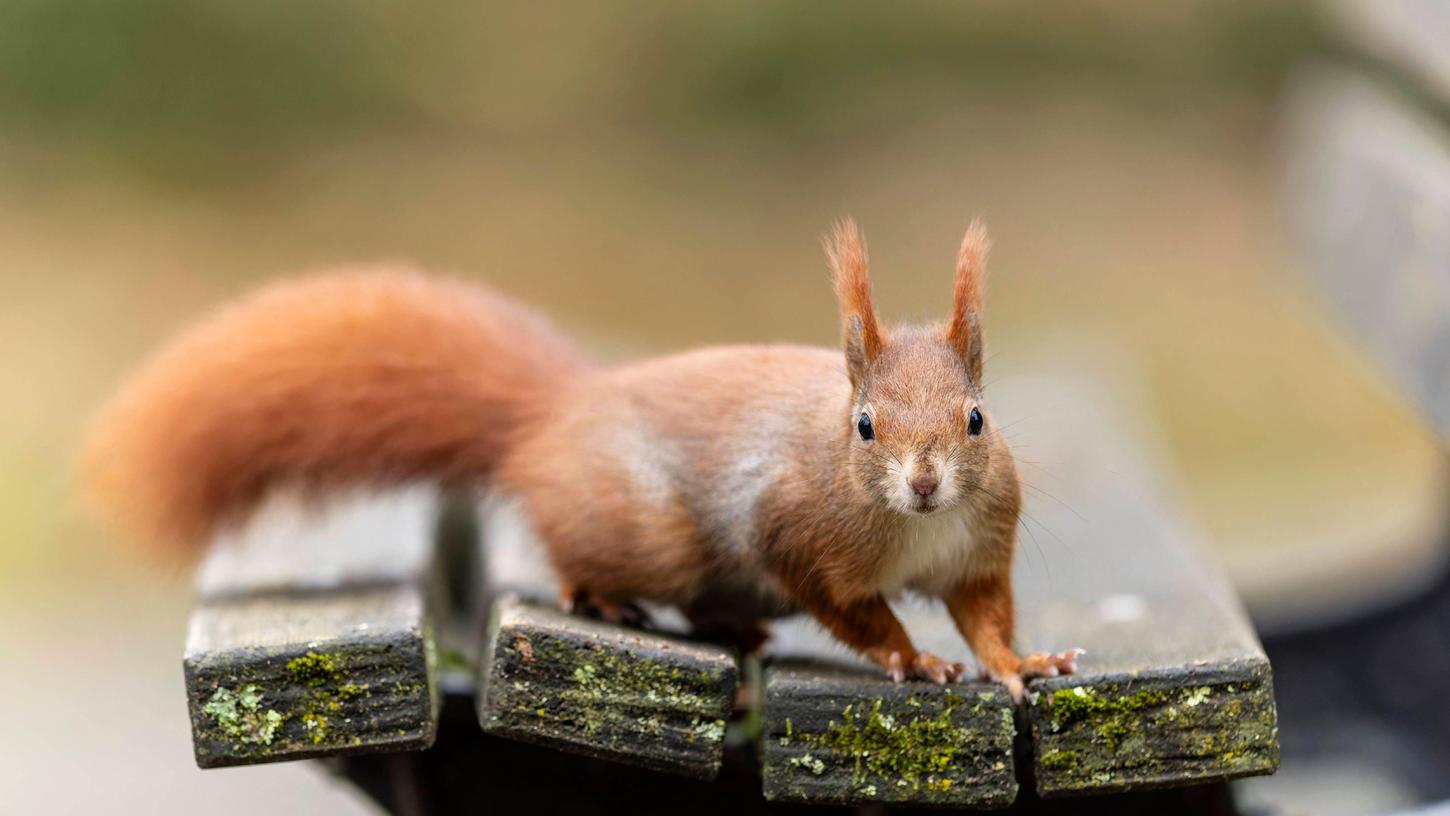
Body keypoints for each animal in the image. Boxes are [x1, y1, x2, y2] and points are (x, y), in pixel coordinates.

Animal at [79, 220, 1078, 698]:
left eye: (978, 419)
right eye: (864, 427)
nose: (925, 481)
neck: (916, 530)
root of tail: (552, 416)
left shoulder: (978, 551)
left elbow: (986, 616)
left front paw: (1020, 664)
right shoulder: (796, 531)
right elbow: (855, 610)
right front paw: (912, 658)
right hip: (650, 530)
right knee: (581, 559)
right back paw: (604, 599)